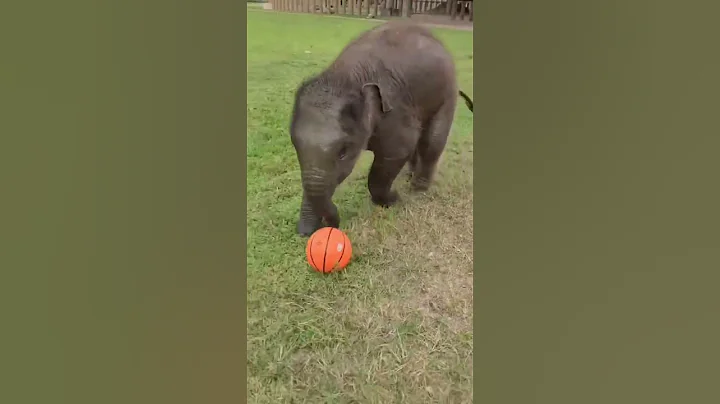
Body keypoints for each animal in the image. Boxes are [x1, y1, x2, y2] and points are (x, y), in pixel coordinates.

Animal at [289, 20, 474, 236]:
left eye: (343, 153)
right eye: (296, 147)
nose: (330, 224)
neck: (345, 76)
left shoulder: (394, 111)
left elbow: (397, 152)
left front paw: (393, 198)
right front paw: (306, 228)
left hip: (446, 94)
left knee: (431, 141)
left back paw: (418, 190)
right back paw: (410, 175)